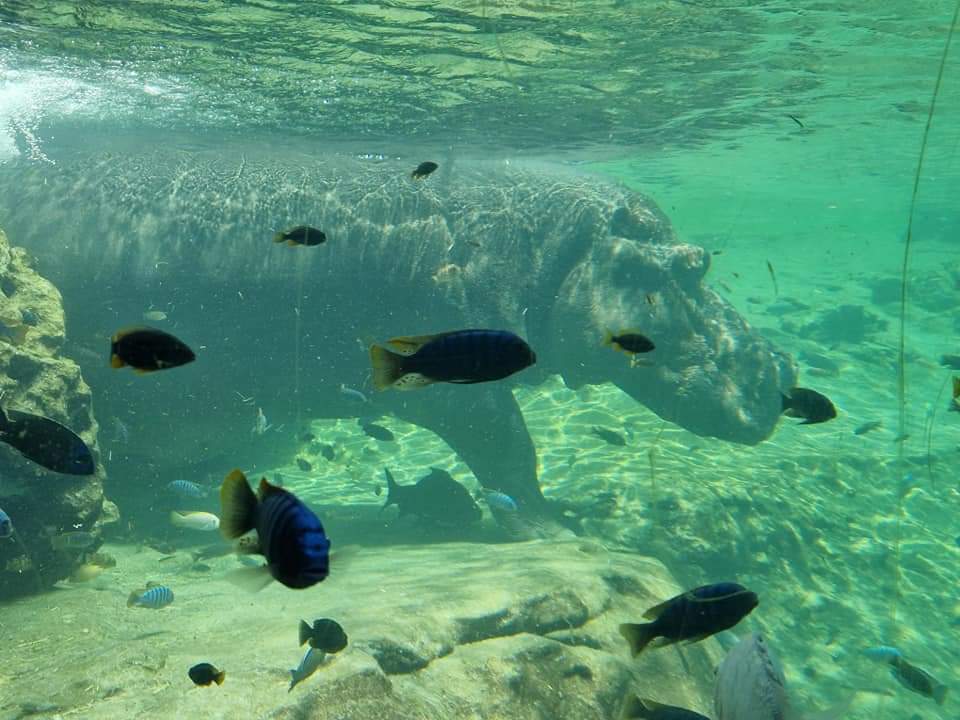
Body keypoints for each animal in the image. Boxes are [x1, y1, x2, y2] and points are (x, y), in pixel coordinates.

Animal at [0, 140, 796, 515]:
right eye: (693, 266)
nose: (783, 371)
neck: (564, 250)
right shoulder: (461, 388)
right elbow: (513, 452)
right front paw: (553, 522)